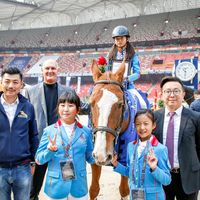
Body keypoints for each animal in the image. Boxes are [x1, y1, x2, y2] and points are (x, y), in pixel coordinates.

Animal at [88, 59, 149, 200]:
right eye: (91, 103)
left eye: (120, 105)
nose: (102, 154)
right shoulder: (94, 158)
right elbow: (93, 189)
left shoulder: (127, 159)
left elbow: (124, 190)